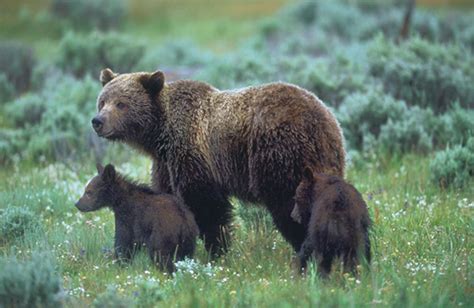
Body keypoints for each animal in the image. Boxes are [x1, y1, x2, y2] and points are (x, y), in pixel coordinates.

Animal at [92, 68, 344, 256]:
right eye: (102, 101)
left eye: (121, 103)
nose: (97, 121)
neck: (160, 134)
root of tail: (320, 117)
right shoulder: (165, 163)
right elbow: (166, 196)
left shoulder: (192, 153)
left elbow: (206, 205)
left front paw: (218, 250)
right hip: (327, 156)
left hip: (279, 154)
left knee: (288, 203)